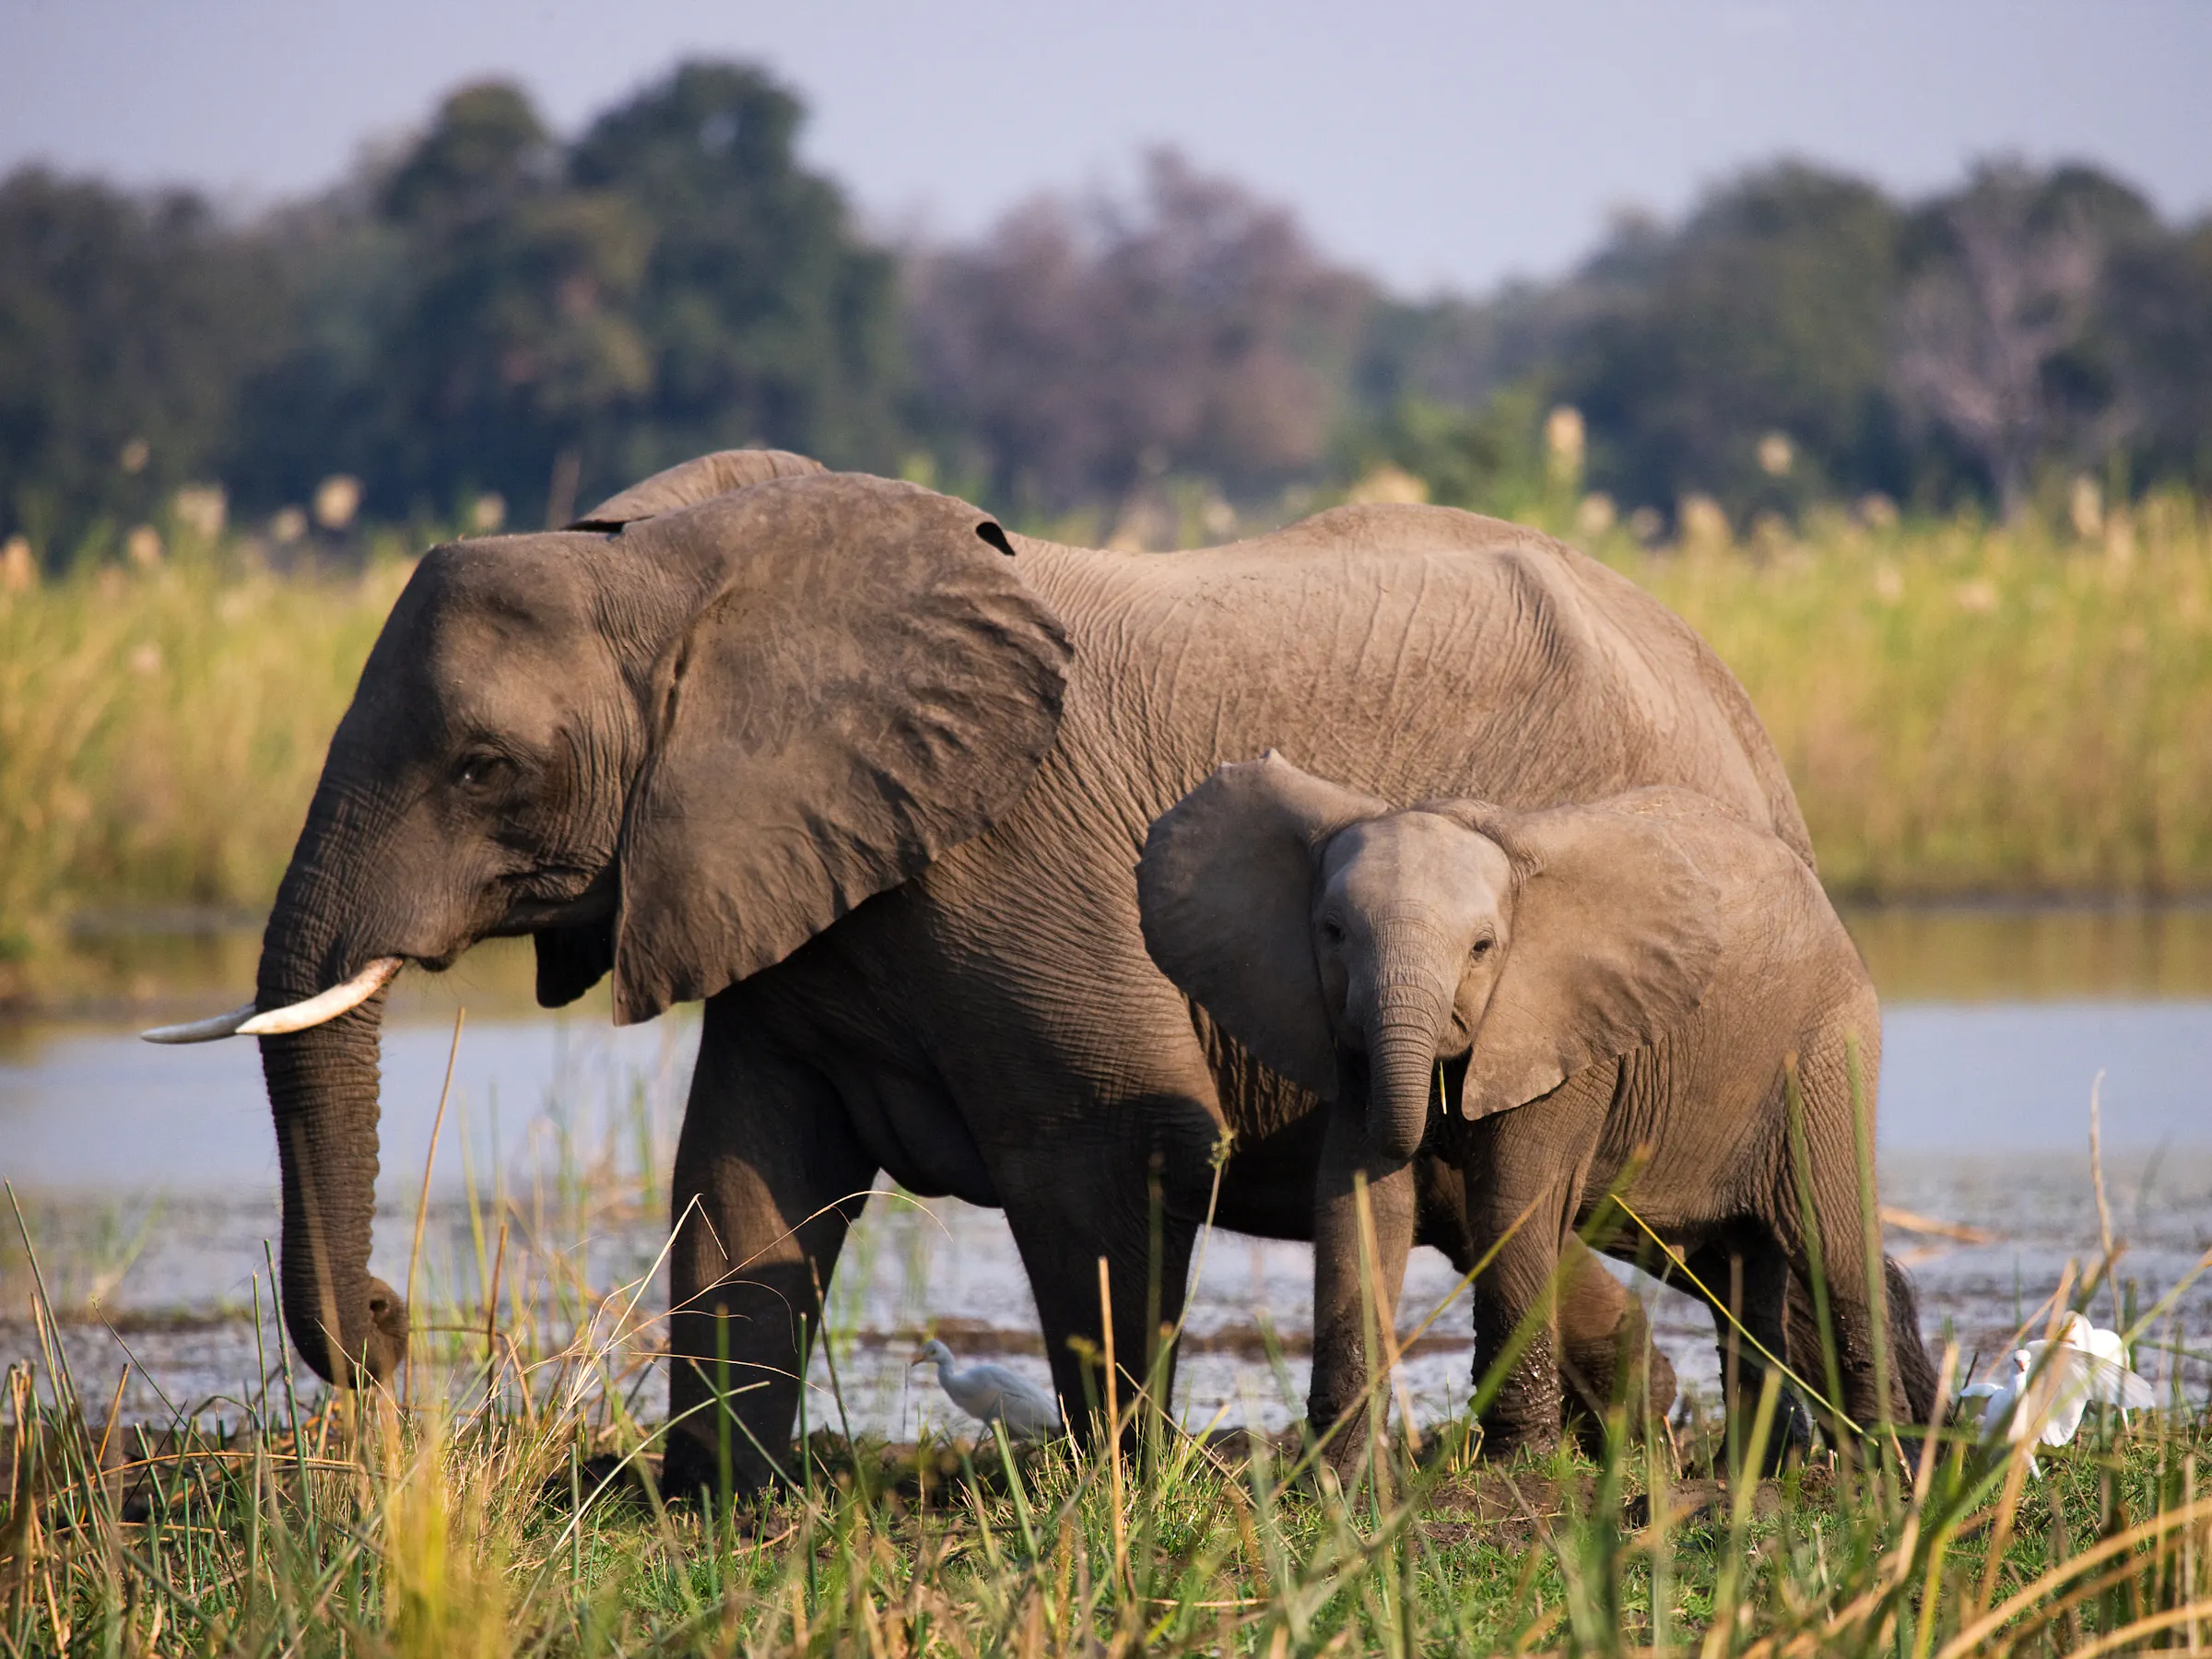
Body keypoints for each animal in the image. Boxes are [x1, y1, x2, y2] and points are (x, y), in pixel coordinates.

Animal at [147, 447, 1820, 1498]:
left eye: (484, 768)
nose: (384, 1326)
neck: (687, 569)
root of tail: (1738, 703)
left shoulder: (1017, 853)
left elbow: (1118, 1142)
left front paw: (1122, 1492)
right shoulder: (795, 888)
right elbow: (745, 1173)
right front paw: (709, 1500)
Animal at [1136, 754, 1939, 1465]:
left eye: (1483, 948)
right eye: (1331, 934)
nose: (1428, 1125)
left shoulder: (1567, 1037)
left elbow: (1511, 1202)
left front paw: (1513, 1470)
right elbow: (1359, 1204)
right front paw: (1333, 1478)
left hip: (1827, 1050)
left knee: (1831, 1248)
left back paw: (1882, 1469)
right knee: (1742, 1274)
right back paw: (1750, 1475)